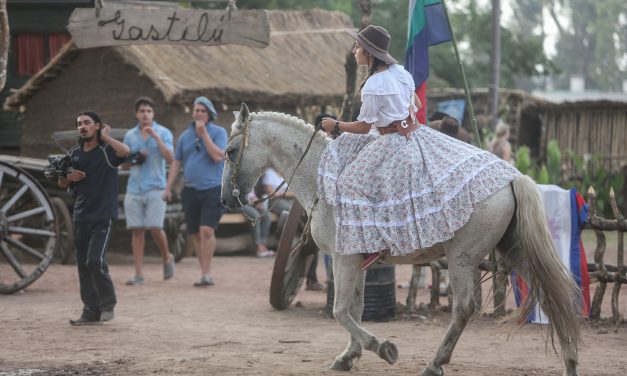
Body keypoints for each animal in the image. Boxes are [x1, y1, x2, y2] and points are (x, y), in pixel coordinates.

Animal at [221, 104, 584, 376]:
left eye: (230, 150)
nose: (226, 200)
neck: (321, 176)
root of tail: (513, 177)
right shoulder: (356, 261)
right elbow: (355, 308)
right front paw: (349, 355)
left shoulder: (342, 259)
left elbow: (340, 311)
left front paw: (383, 348)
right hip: (515, 253)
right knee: (552, 297)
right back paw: (569, 363)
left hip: (463, 258)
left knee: (464, 308)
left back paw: (435, 364)